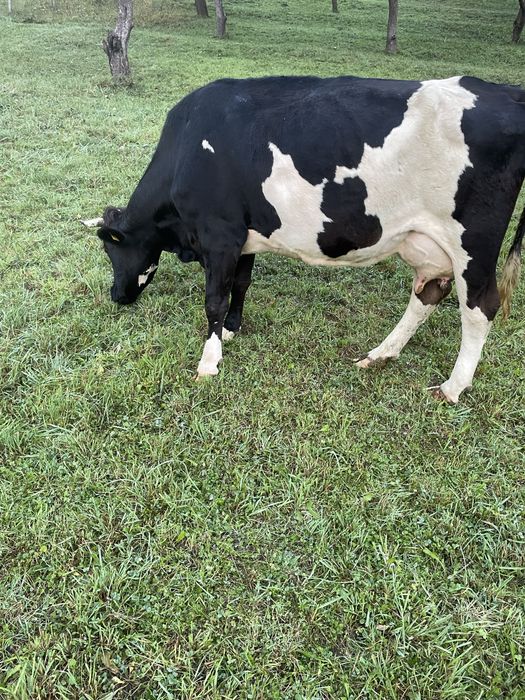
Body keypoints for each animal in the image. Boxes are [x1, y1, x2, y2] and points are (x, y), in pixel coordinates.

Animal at [83, 75, 525, 403]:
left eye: (111, 248)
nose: (116, 296)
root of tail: (506, 91)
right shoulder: (244, 235)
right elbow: (241, 283)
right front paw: (232, 329)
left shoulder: (219, 234)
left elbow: (214, 299)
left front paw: (209, 362)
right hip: (428, 242)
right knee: (427, 294)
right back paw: (380, 354)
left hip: (473, 244)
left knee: (479, 308)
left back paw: (452, 387)